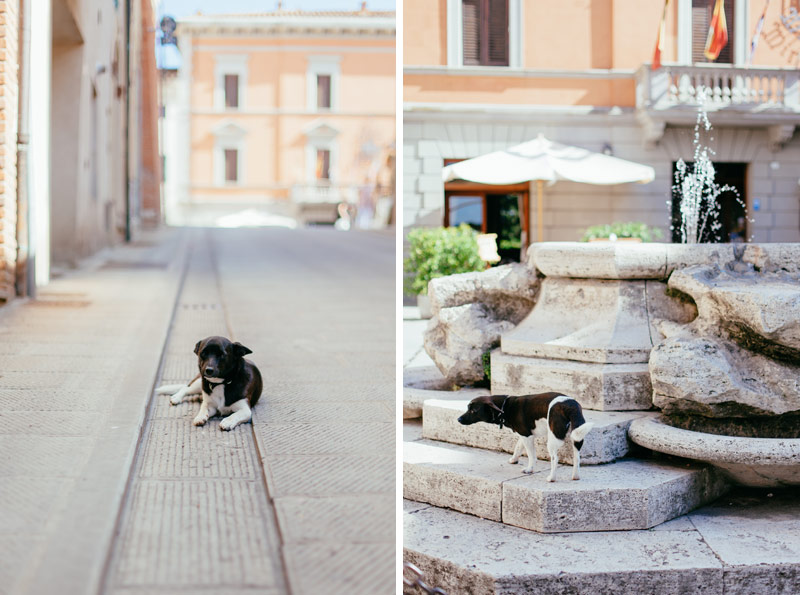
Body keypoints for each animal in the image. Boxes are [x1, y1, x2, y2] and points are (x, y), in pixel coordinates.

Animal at [456, 394, 592, 482]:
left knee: (555, 458)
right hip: (577, 437)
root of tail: (570, 405)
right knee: (577, 458)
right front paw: (513, 459)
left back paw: (551, 478)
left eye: (473, 411)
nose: (458, 419)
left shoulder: (527, 436)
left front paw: (529, 469)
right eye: (468, 408)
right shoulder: (524, 435)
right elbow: (518, 447)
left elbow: (531, 456)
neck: (505, 407)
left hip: (553, 440)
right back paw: (575, 476)